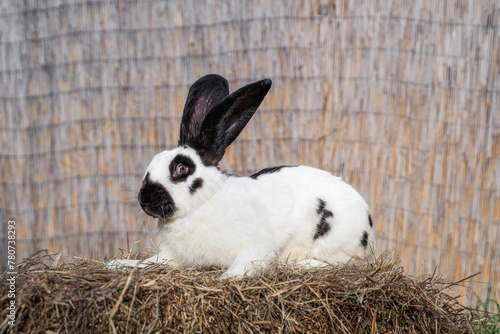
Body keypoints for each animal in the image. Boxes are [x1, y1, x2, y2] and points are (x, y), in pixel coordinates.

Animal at [109, 74, 376, 278]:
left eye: (182, 168)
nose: (144, 200)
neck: (201, 206)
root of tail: (369, 227)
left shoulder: (256, 247)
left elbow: (244, 264)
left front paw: (227, 278)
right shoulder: (171, 256)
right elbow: (147, 263)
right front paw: (116, 264)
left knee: (344, 263)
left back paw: (302, 264)